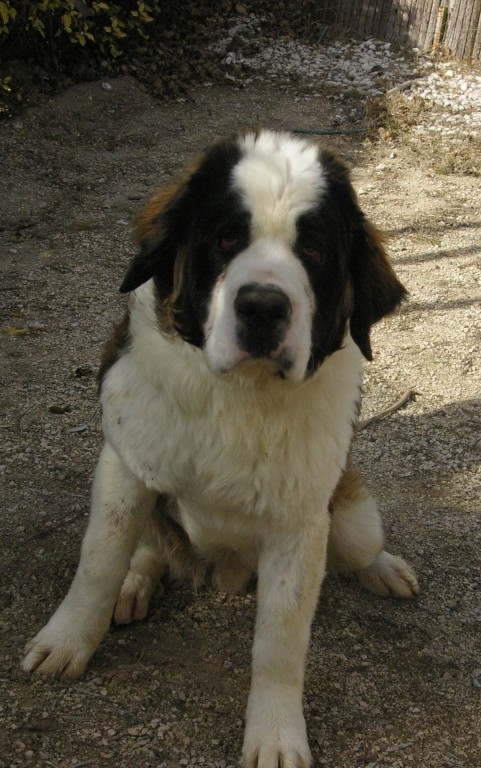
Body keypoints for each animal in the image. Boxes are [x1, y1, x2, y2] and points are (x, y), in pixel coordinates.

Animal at [24, 129, 418, 764]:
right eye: (227, 237)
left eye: (314, 251)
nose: (263, 306)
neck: (240, 395)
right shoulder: (125, 464)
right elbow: (99, 560)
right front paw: (68, 640)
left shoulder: (300, 522)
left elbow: (281, 642)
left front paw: (275, 734)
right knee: (146, 549)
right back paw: (136, 583)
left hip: (351, 516)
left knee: (360, 547)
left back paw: (384, 570)